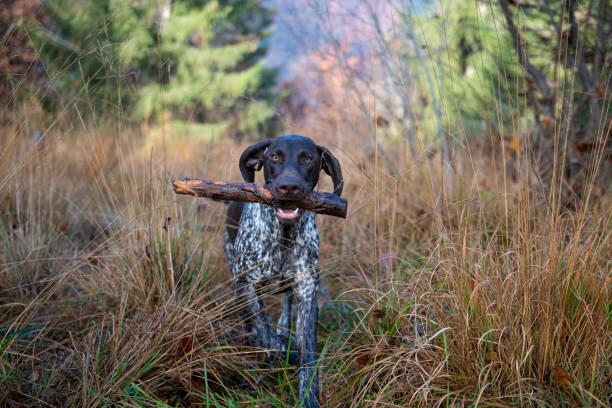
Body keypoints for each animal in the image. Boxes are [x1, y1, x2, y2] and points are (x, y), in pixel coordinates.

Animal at [224, 135, 342, 406]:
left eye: (307, 159)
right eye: (275, 157)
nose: (289, 187)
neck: (283, 236)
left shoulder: (307, 294)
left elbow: (308, 356)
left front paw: (308, 397)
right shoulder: (248, 285)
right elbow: (264, 328)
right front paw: (281, 351)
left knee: (286, 306)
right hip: (235, 278)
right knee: (252, 322)